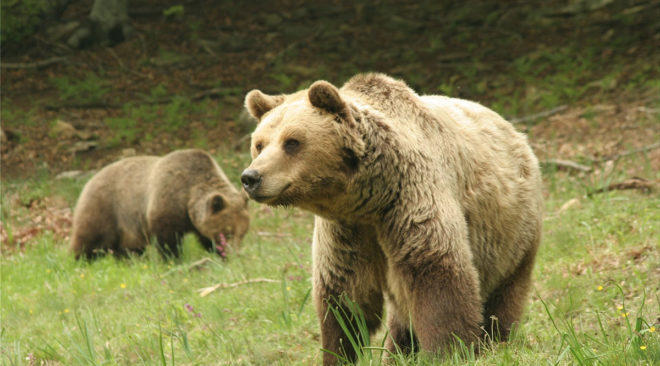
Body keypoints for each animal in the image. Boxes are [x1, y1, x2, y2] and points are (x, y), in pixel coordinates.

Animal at [69, 149, 250, 260]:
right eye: (227, 232)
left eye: (243, 233)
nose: (235, 253)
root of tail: (90, 180)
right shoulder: (166, 202)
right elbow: (167, 239)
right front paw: (173, 259)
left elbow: (205, 238)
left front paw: (221, 255)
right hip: (104, 207)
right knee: (90, 238)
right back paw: (79, 260)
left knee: (127, 248)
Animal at [241, 72, 540, 364]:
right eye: (259, 144)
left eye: (292, 142)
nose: (251, 177)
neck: (370, 199)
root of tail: (514, 130)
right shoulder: (346, 232)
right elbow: (345, 296)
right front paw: (338, 353)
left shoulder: (410, 200)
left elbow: (437, 276)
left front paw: (450, 351)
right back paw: (399, 351)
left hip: (511, 233)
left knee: (505, 293)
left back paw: (497, 340)